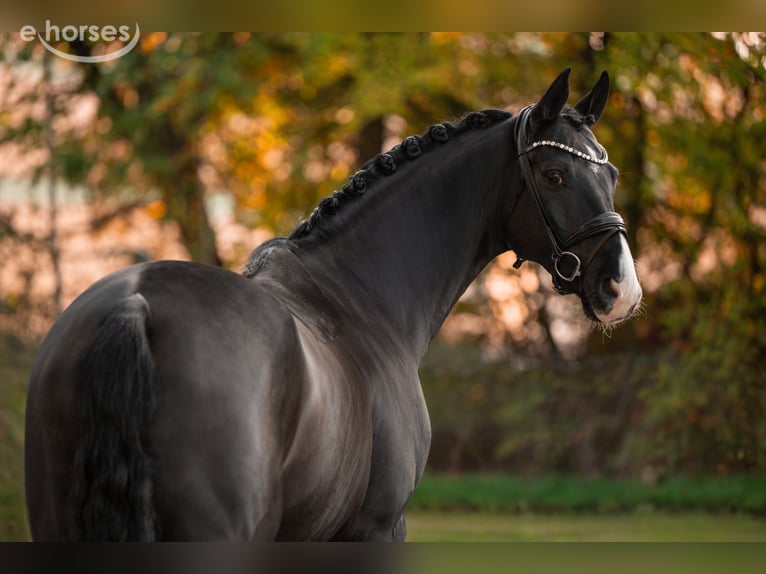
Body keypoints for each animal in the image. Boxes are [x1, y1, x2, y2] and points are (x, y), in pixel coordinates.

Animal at [24, 68, 642, 541]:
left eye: (611, 173)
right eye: (555, 173)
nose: (622, 289)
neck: (358, 295)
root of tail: (139, 304)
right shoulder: (378, 527)